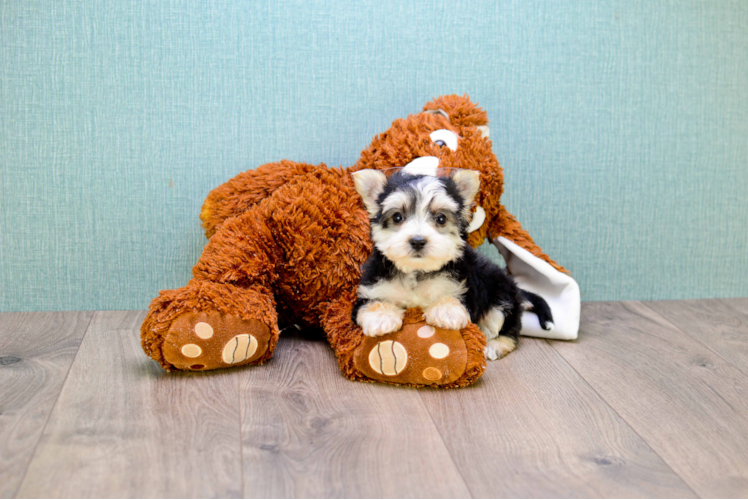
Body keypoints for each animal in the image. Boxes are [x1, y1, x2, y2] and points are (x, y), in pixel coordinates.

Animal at [352, 167, 556, 360]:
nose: (418, 241)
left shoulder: (465, 288)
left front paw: (446, 311)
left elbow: (454, 300)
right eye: (397, 217)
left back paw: (495, 345)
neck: (418, 271)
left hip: (501, 295)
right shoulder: (371, 288)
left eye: (441, 218)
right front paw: (381, 317)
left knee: (506, 328)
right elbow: (371, 303)